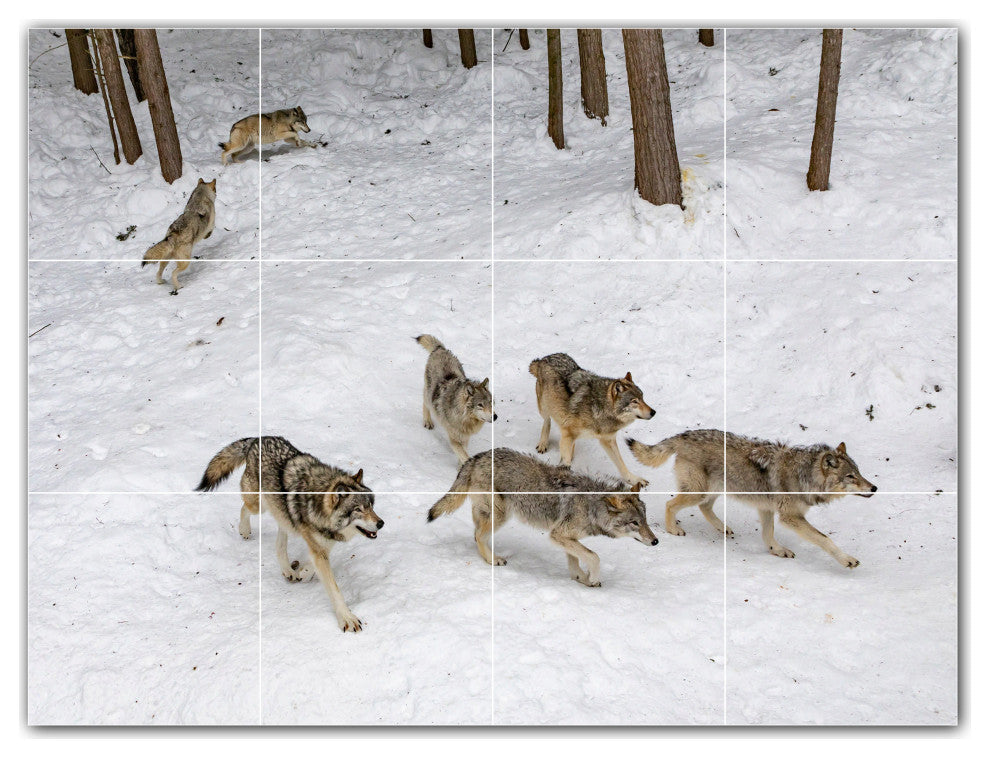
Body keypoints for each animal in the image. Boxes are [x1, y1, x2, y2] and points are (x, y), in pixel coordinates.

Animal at [195, 436, 384, 632]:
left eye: (371, 506)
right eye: (358, 510)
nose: (381, 523)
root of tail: (257, 439)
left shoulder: (323, 544)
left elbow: (312, 564)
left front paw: (304, 572)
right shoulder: (319, 548)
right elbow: (334, 589)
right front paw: (347, 618)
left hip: (281, 513)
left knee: (279, 542)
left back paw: (288, 570)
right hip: (259, 506)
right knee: (244, 508)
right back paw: (244, 530)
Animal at [416, 334, 495, 463]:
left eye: (491, 403)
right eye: (480, 405)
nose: (495, 416)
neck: (464, 418)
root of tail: (440, 349)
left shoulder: (465, 437)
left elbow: (463, 454)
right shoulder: (454, 439)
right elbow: (464, 455)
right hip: (428, 395)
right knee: (425, 402)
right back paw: (428, 422)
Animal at [427, 448, 657, 586]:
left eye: (645, 520)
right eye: (634, 523)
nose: (656, 541)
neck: (592, 506)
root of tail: (476, 457)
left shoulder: (566, 537)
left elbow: (576, 560)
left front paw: (581, 578)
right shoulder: (558, 535)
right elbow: (594, 556)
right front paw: (592, 578)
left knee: (475, 533)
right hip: (501, 515)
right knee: (478, 535)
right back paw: (493, 560)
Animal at [529, 353, 655, 487]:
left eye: (642, 398)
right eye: (634, 401)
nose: (653, 412)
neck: (599, 408)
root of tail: (544, 358)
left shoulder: (608, 440)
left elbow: (622, 465)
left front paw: (634, 480)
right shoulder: (568, 434)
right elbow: (566, 461)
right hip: (544, 407)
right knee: (547, 421)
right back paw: (543, 444)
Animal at [626, 430, 877, 568]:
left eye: (859, 472)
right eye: (850, 476)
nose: (874, 488)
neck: (804, 476)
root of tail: (684, 435)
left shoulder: (766, 508)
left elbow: (768, 535)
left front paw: (777, 550)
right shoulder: (790, 517)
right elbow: (825, 539)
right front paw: (847, 560)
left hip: (714, 490)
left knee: (705, 508)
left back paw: (723, 528)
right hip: (699, 491)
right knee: (670, 504)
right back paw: (673, 529)